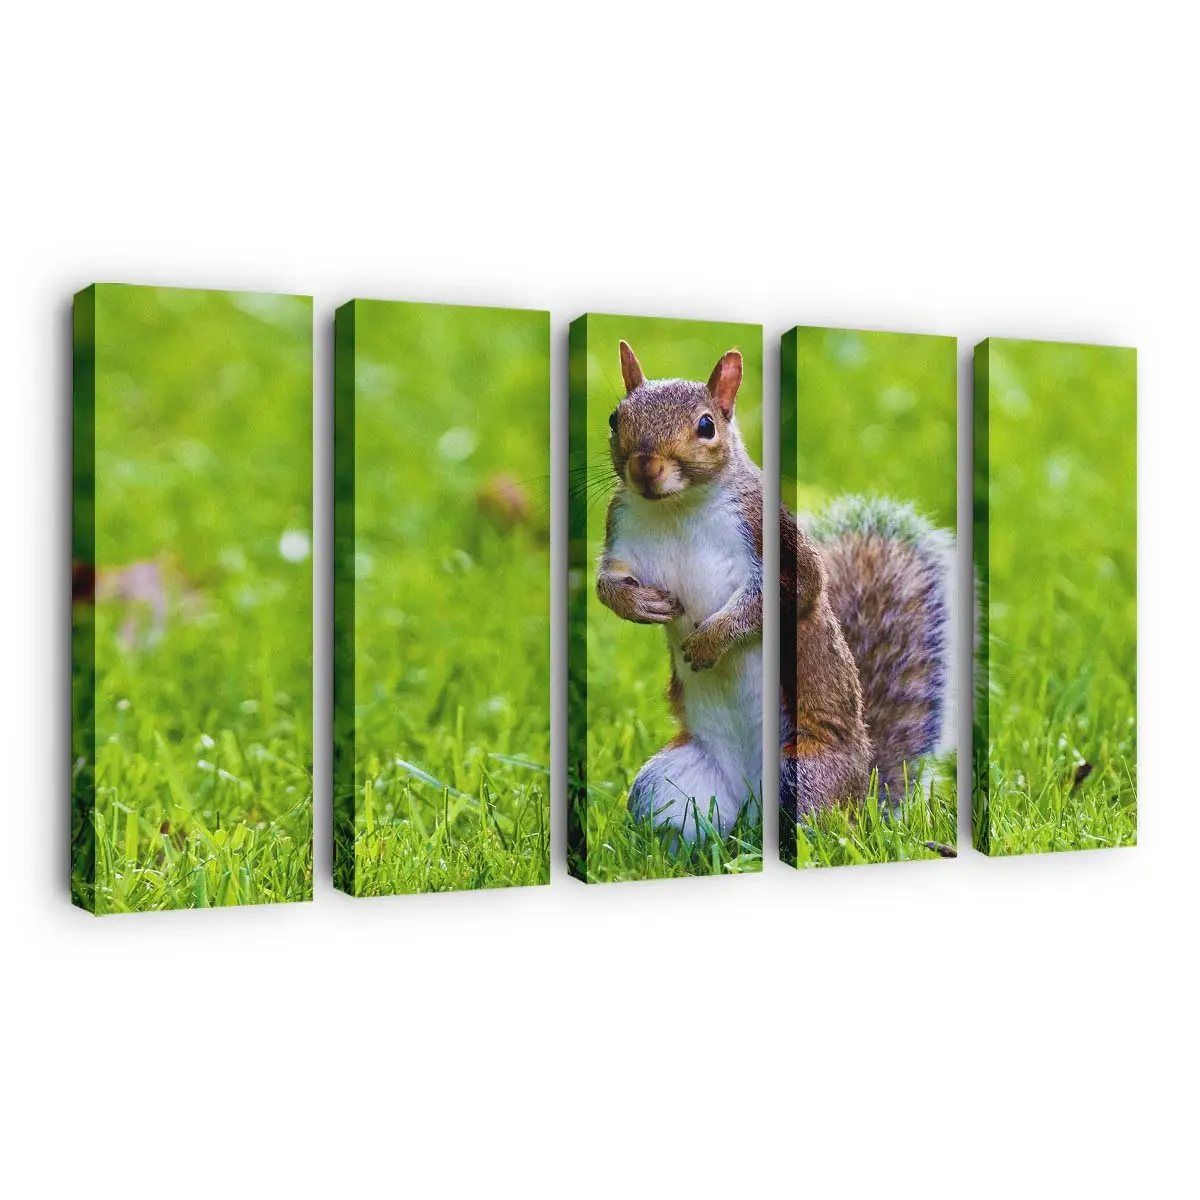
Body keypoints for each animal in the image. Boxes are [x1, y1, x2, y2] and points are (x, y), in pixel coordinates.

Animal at [597, 341, 954, 842]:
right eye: (615, 418)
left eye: (706, 425)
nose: (645, 467)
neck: (677, 508)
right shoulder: (621, 531)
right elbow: (606, 584)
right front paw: (639, 605)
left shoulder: (771, 536)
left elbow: (791, 594)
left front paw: (710, 641)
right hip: (669, 785)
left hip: (804, 774)